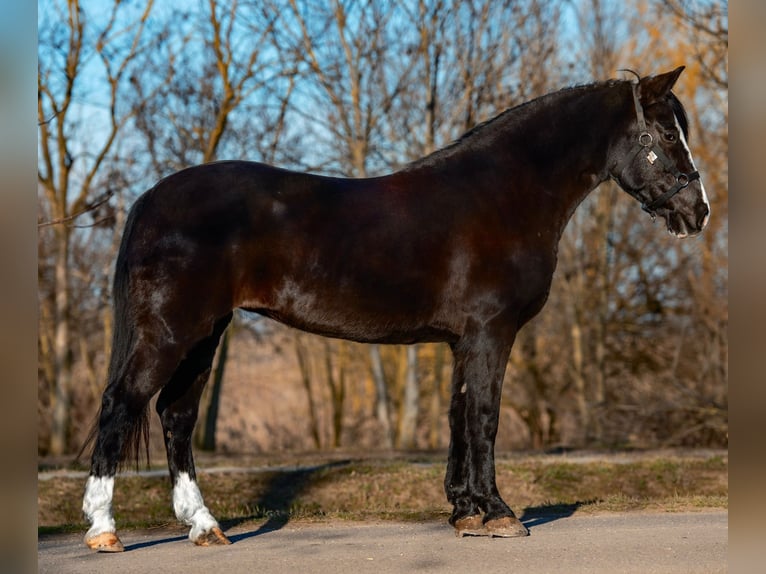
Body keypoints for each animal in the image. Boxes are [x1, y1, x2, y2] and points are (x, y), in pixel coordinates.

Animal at [80, 67, 709, 551]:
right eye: (664, 133)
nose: (697, 212)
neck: (504, 193)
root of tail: (152, 197)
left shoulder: (462, 340)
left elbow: (458, 417)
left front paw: (466, 512)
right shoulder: (491, 332)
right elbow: (485, 417)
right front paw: (500, 513)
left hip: (206, 333)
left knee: (176, 416)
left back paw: (204, 526)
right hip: (171, 331)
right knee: (121, 405)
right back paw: (104, 529)